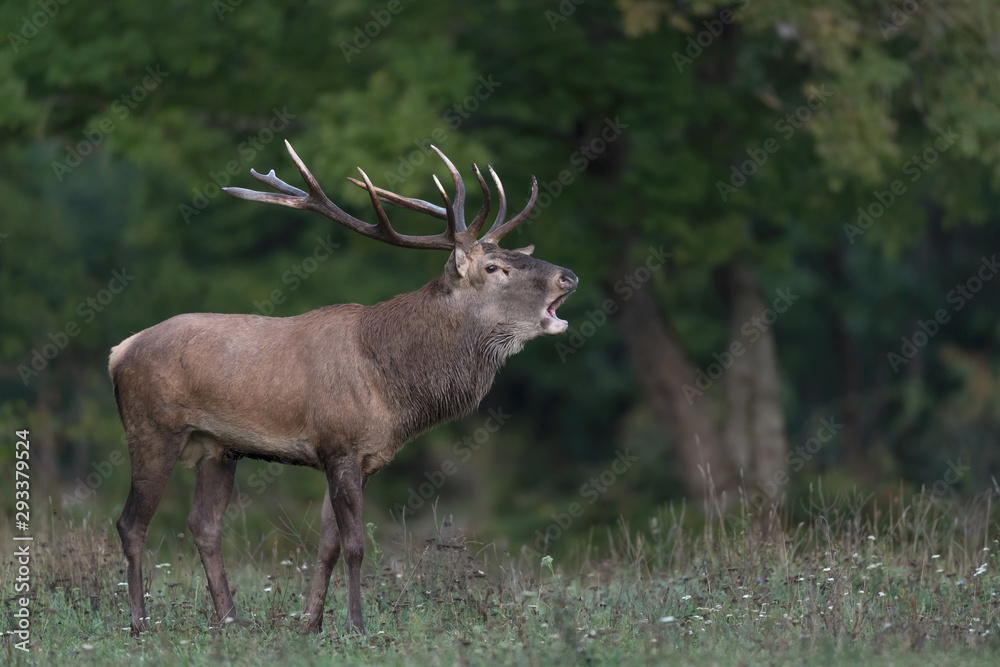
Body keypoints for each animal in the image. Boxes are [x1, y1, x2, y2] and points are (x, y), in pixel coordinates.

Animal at [107, 141, 580, 636]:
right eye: (494, 267)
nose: (568, 276)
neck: (394, 390)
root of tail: (119, 351)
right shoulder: (339, 445)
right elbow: (354, 544)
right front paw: (356, 624)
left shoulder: (362, 458)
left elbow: (328, 544)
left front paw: (311, 623)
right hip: (151, 428)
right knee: (131, 523)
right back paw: (139, 623)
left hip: (217, 447)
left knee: (204, 526)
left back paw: (231, 620)